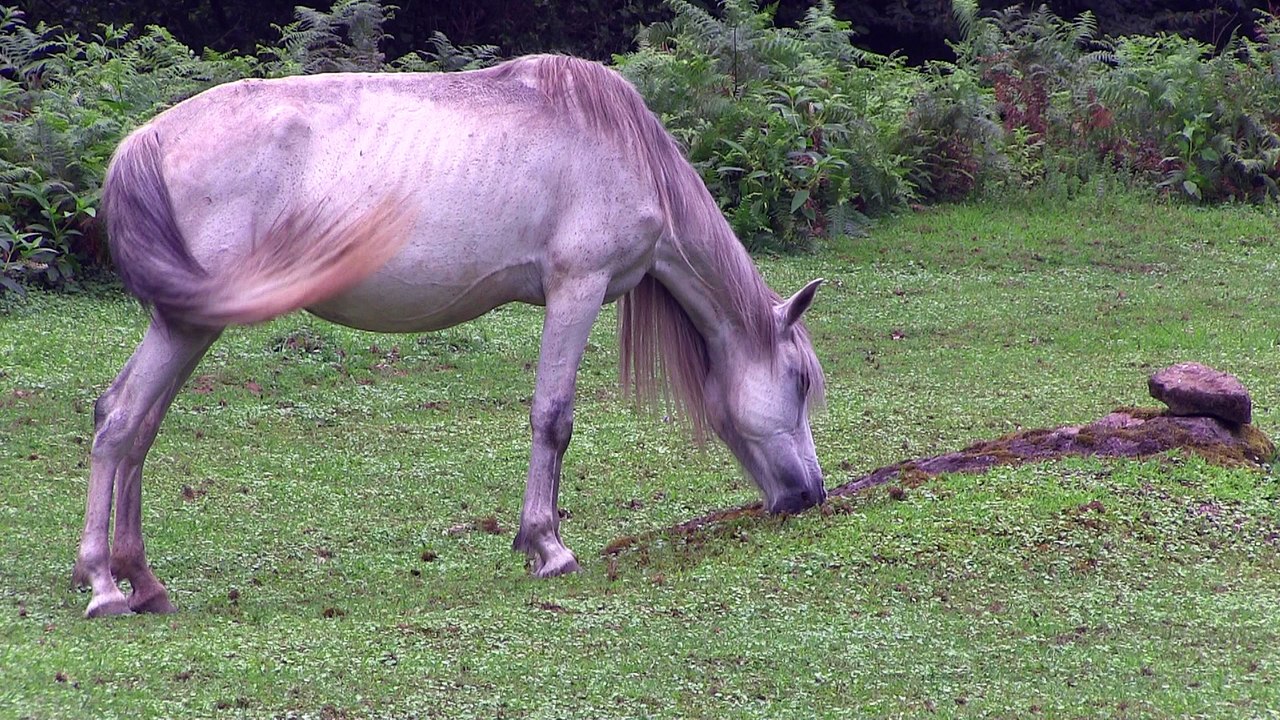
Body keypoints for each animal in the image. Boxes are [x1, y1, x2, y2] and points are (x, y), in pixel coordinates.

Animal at [73, 54, 827, 618]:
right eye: (798, 382)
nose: (810, 495)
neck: (619, 146)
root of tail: (145, 140)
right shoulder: (576, 289)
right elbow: (553, 418)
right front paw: (547, 546)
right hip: (187, 324)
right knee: (120, 419)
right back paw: (104, 585)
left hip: (190, 324)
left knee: (139, 425)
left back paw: (144, 582)